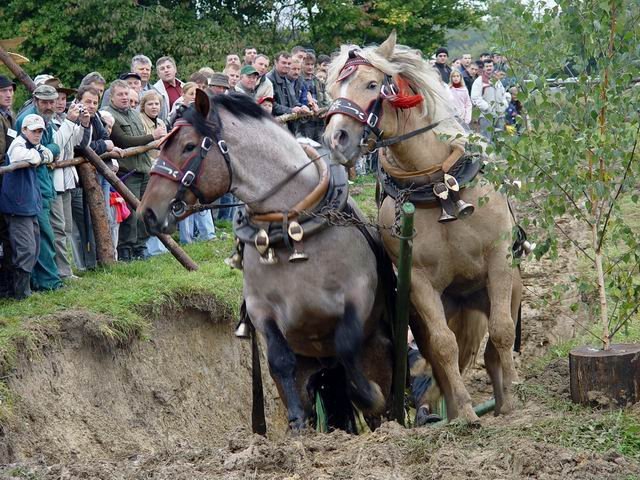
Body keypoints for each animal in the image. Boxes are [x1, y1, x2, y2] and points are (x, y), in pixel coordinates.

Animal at [138, 91, 392, 432]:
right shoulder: (262, 309)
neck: (291, 228)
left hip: (380, 354)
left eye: (189, 146)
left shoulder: (358, 291)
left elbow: (347, 343)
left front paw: (370, 396)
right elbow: (279, 360)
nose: (147, 212)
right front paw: (297, 423)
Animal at [324, 32, 520, 424]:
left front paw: (511, 403)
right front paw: (466, 414)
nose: (335, 139)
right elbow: (443, 347)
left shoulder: (499, 260)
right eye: (331, 88)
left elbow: (503, 332)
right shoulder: (417, 281)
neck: (438, 184)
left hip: (508, 289)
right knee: (439, 352)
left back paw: (503, 397)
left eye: (371, 84)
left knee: (493, 347)